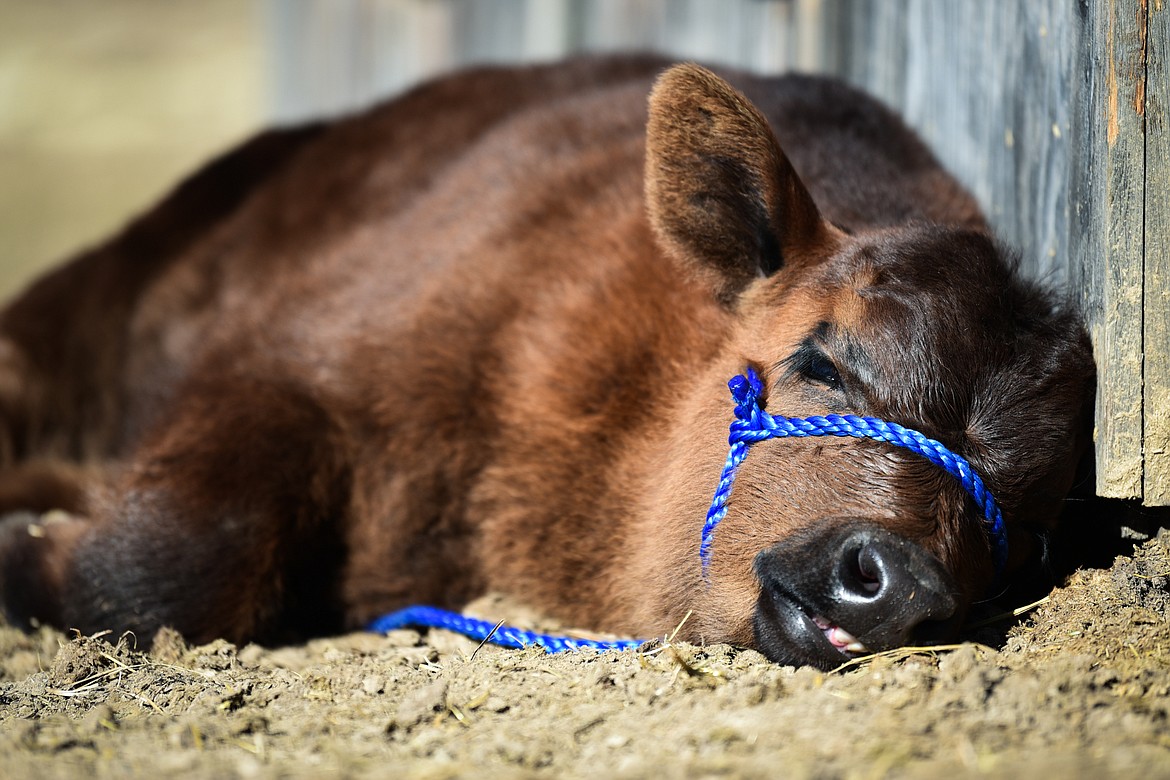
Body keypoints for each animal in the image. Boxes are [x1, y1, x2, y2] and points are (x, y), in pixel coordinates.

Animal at [0, 57, 1095, 673]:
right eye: (819, 361)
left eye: (1027, 533)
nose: (895, 578)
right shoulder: (291, 356)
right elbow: (170, 565)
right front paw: (25, 547)